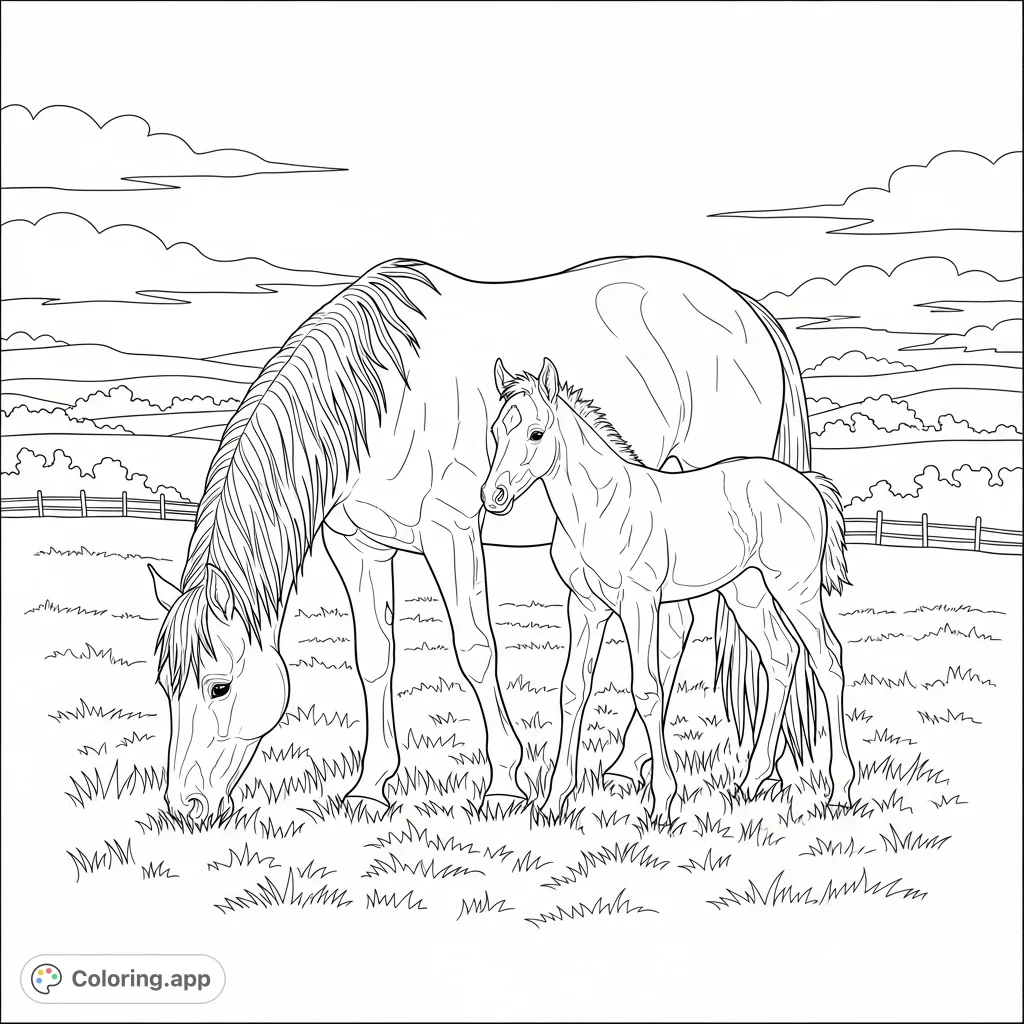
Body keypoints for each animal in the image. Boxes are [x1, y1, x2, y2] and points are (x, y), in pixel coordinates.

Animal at [147, 255, 812, 822]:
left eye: (219, 686)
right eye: (164, 686)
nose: (184, 808)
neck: (382, 399)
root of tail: (753, 314)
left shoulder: (450, 532)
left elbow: (475, 649)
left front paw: (504, 784)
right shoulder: (358, 545)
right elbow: (374, 658)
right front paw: (371, 786)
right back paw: (630, 768)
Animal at [481, 358, 854, 820]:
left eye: (536, 433)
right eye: (495, 431)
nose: (493, 496)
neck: (599, 509)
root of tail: (807, 483)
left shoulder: (640, 603)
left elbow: (647, 689)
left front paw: (662, 801)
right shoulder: (584, 607)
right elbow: (572, 690)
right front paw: (553, 800)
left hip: (795, 589)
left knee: (827, 660)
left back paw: (839, 791)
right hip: (746, 592)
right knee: (780, 656)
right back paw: (749, 782)